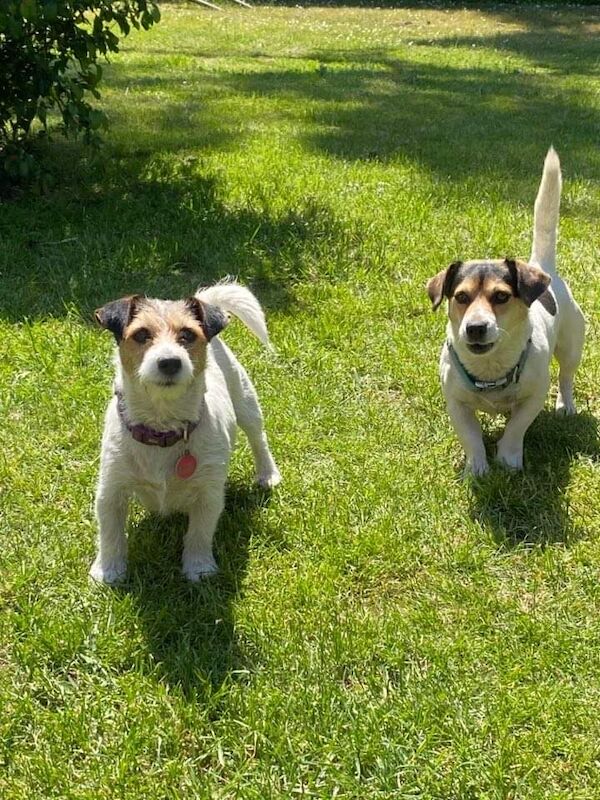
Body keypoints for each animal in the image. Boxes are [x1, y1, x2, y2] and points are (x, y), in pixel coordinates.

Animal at [91, 282, 282, 580]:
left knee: (257, 437)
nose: (170, 361)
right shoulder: (111, 488)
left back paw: (267, 473)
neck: (162, 428)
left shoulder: (209, 493)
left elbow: (199, 533)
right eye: (141, 334)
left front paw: (199, 569)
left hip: (245, 400)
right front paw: (109, 572)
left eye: (188, 335)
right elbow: (110, 533)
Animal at [426, 148, 584, 476]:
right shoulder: (456, 403)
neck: (490, 369)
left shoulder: (533, 397)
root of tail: (541, 266)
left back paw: (566, 405)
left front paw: (508, 460)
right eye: (461, 297)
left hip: (571, 345)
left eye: (501, 296)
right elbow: (471, 436)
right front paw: (477, 468)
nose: (475, 327)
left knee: (566, 375)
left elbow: (516, 428)